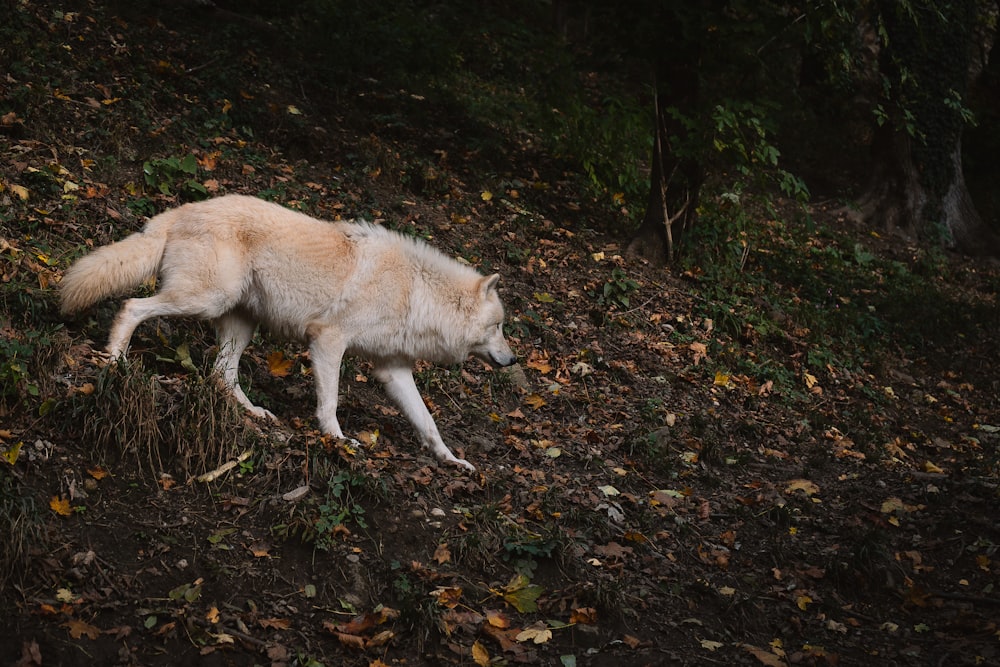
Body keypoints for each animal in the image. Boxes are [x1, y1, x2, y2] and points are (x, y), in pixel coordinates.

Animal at [61, 196, 516, 472]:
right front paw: (337, 440)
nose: (512, 359)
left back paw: (256, 414)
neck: (415, 291)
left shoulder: (393, 370)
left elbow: (428, 423)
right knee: (131, 307)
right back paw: (116, 360)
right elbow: (330, 403)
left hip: (239, 324)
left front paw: (453, 461)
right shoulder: (328, 341)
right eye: (497, 326)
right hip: (204, 300)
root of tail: (179, 210)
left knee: (221, 376)